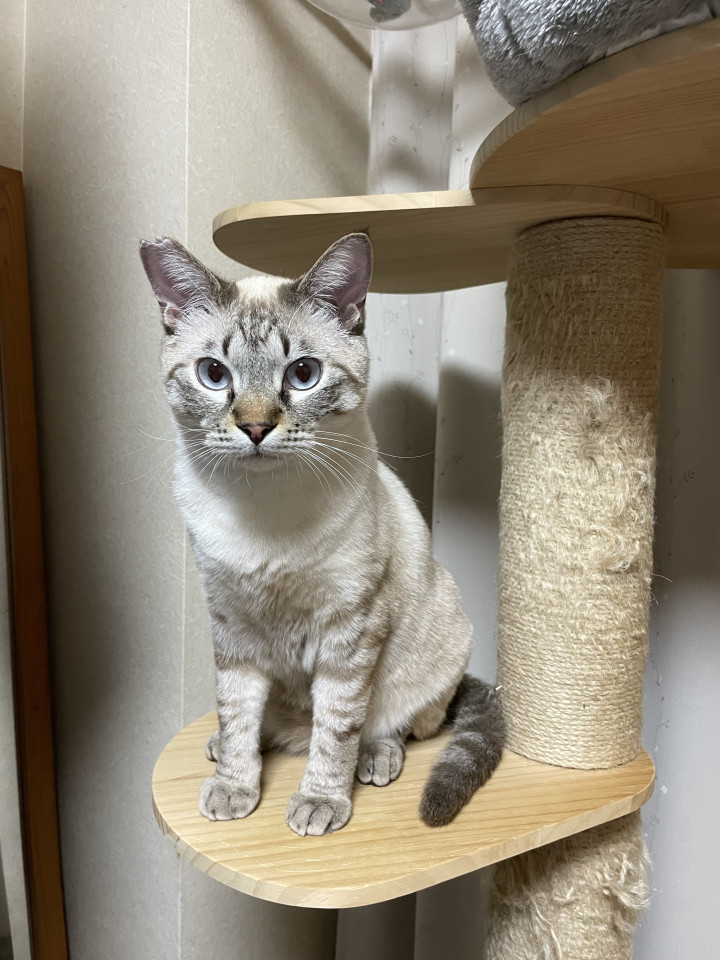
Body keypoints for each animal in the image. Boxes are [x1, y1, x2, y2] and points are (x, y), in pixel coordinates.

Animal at [140, 233, 504, 836]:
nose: (255, 427)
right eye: (214, 375)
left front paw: (320, 801)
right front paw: (235, 787)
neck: (264, 511)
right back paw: (230, 746)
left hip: (437, 644)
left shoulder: (350, 630)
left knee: (396, 725)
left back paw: (374, 759)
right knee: (261, 724)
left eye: (303, 373)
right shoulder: (231, 625)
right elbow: (237, 712)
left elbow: (335, 729)